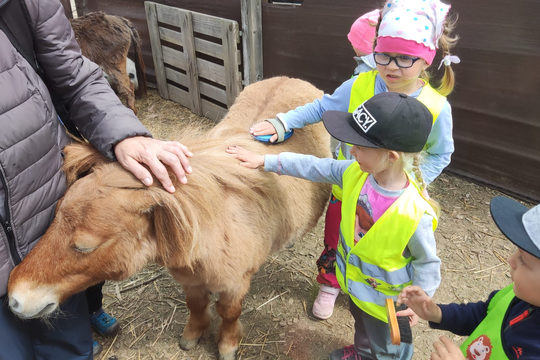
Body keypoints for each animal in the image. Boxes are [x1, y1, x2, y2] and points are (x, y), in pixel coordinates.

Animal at [7, 76, 330, 360]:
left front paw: (227, 345)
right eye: (55, 218)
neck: (211, 228)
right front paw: (192, 336)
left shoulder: (235, 284)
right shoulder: (190, 280)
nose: (14, 299)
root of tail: (290, 79)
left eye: (85, 246)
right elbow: (196, 305)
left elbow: (229, 314)